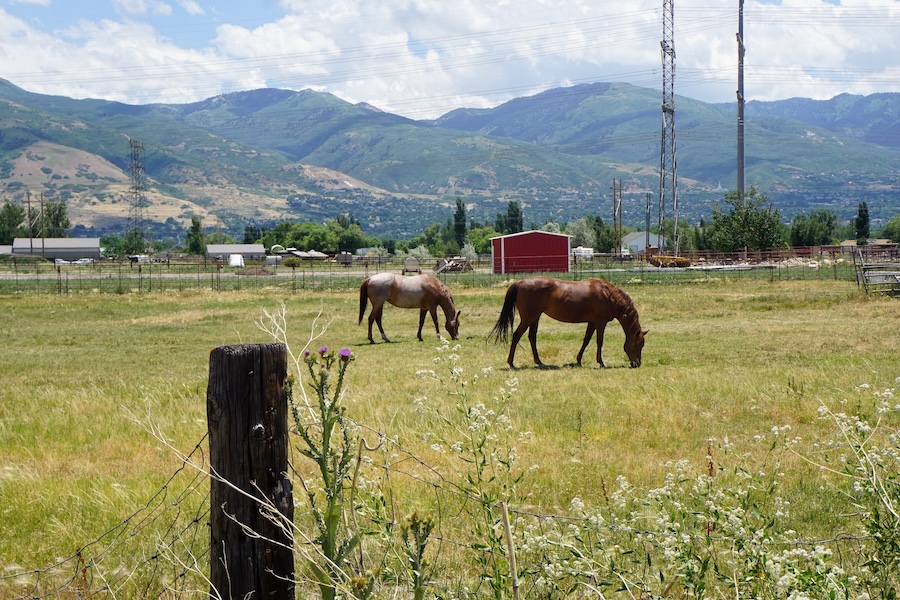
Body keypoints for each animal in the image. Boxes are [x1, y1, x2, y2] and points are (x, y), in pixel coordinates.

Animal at [488, 277, 647, 368]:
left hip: (535, 318)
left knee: (532, 337)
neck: (608, 294)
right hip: (528, 318)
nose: (637, 364)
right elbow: (599, 341)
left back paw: (539, 362)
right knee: (516, 335)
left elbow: (586, 340)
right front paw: (601, 362)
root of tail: (520, 282)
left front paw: (578, 360)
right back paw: (511, 363)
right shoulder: (601, 322)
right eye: (638, 345)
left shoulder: (592, 322)